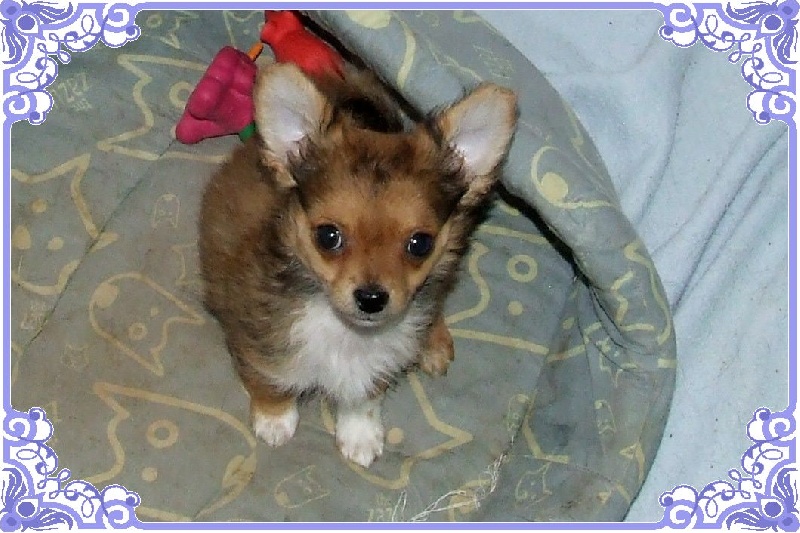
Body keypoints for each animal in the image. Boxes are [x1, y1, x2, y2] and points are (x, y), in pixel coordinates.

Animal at [198, 62, 517, 468]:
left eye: (420, 244)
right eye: (328, 236)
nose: (371, 299)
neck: (347, 334)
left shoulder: (376, 365)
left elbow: (364, 397)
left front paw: (359, 434)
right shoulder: (256, 335)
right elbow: (270, 380)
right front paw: (275, 419)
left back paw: (433, 341)